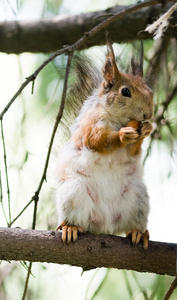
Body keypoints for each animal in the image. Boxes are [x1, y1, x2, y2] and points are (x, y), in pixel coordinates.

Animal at [55, 40, 153, 251]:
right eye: (125, 91)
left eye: (150, 91)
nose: (148, 114)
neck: (119, 120)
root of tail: (105, 224)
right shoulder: (90, 125)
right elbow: (96, 140)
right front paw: (122, 135)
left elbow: (133, 151)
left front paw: (147, 128)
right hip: (74, 193)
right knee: (75, 218)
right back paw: (70, 227)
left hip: (138, 198)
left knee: (132, 224)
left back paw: (138, 233)